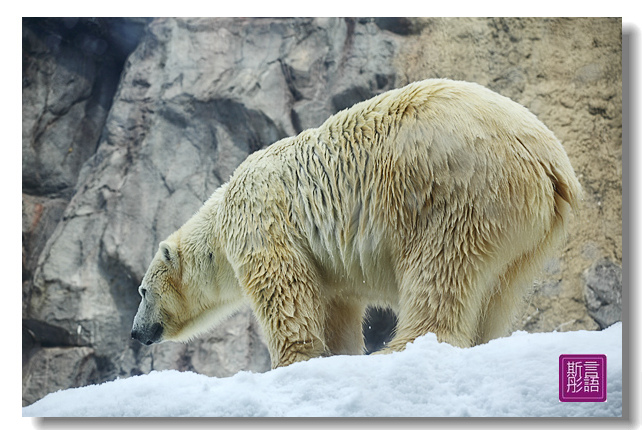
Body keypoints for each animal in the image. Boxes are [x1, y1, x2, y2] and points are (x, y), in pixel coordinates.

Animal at [130, 79, 580, 368]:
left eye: (142, 290)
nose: (136, 332)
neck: (221, 216)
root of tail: (549, 162)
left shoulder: (260, 216)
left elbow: (283, 288)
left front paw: (291, 362)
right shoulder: (327, 265)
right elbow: (335, 305)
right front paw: (337, 354)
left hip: (456, 190)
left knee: (441, 269)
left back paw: (400, 347)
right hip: (526, 231)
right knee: (499, 289)